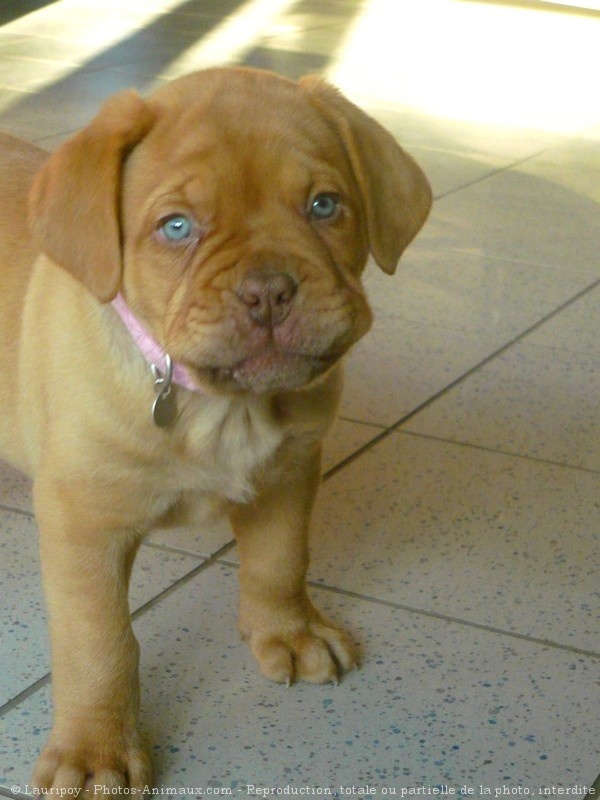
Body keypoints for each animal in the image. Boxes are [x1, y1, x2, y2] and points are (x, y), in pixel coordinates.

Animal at [0, 67, 432, 788]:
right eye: (176, 227)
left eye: (324, 206)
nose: (268, 291)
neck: (220, 406)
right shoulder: (84, 521)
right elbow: (99, 643)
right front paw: (94, 751)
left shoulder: (291, 472)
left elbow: (279, 562)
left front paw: (290, 634)